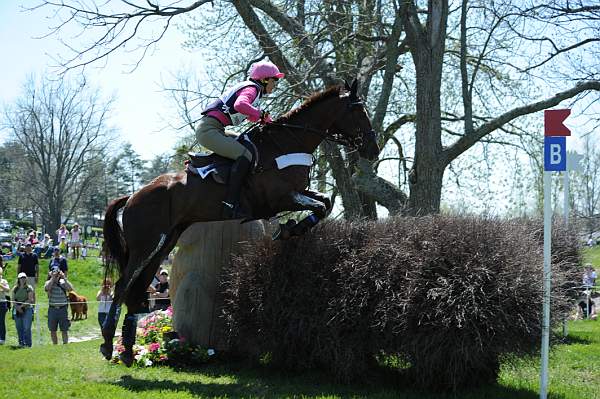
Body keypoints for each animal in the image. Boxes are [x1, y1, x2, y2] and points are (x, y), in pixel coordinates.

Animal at [100, 79, 378, 366]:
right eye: (359, 111)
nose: (373, 149)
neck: (288, 143)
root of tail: (133, 195)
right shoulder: (281, 198)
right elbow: (321, 206)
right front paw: (290, 229)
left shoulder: (297, 193)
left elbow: (324, 203)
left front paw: (291, 229)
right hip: (145, 245)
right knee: (122, 287)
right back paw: (109, 344)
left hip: (163, 244)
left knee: (136, 291)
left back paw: (128, 351)